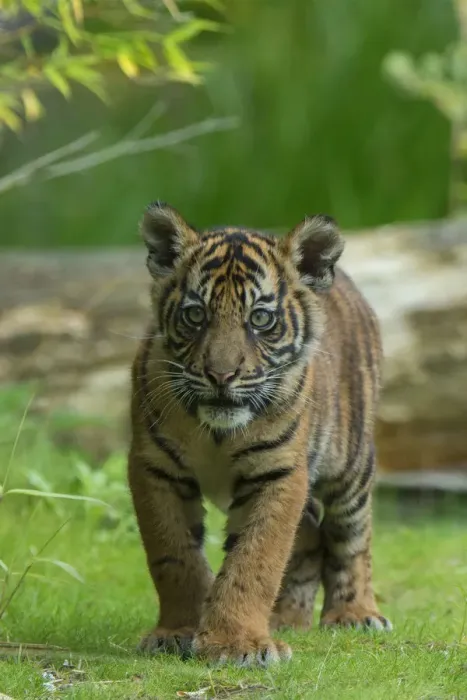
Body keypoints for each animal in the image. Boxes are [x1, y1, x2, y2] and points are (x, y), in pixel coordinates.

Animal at [128, 201, 392, 667]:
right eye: (195, 315)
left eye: (260, 319)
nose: (221, 375)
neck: (215, 434)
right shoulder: (154, 469)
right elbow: (173, 555)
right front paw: (177, 632)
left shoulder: (278, 472)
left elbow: (256, 560)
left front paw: (237, 644)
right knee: (308, 541)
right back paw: (285, 620)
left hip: (351, 468)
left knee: (351, 538)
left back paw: (355, 614)